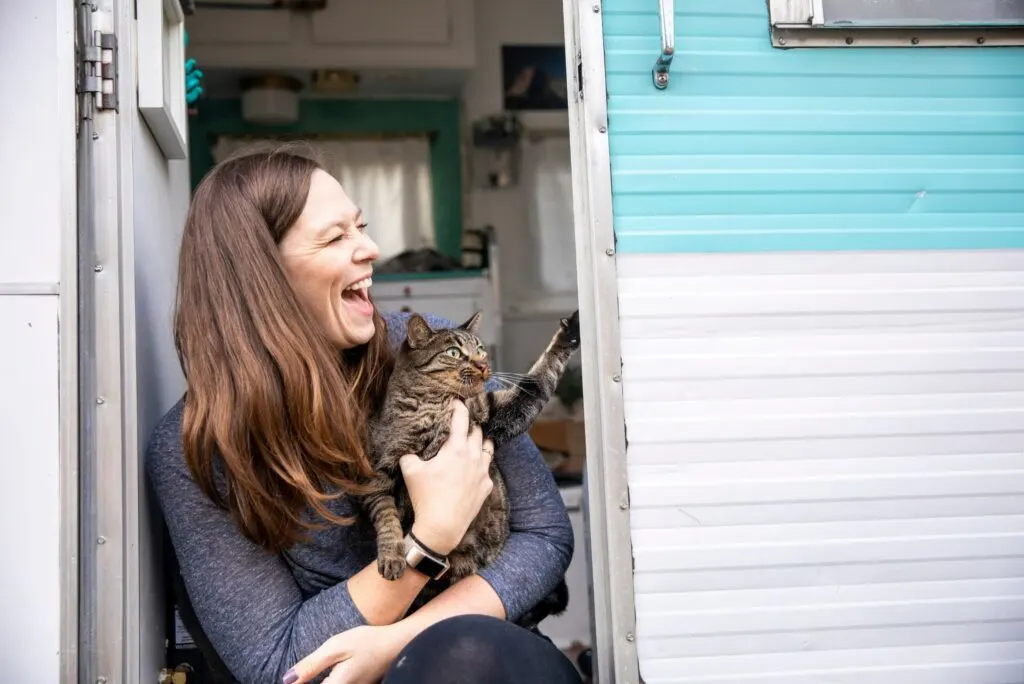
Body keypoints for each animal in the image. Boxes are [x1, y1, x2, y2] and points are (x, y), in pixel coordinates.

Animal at [364, 309, 581, 626]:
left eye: (480, 348)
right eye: (454, 352)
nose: (483, 364)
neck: (434, 403)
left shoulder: (498, 413)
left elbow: (539, 378)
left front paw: (570, 331)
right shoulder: (380, 473)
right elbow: (385, 515)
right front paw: (391, 556)